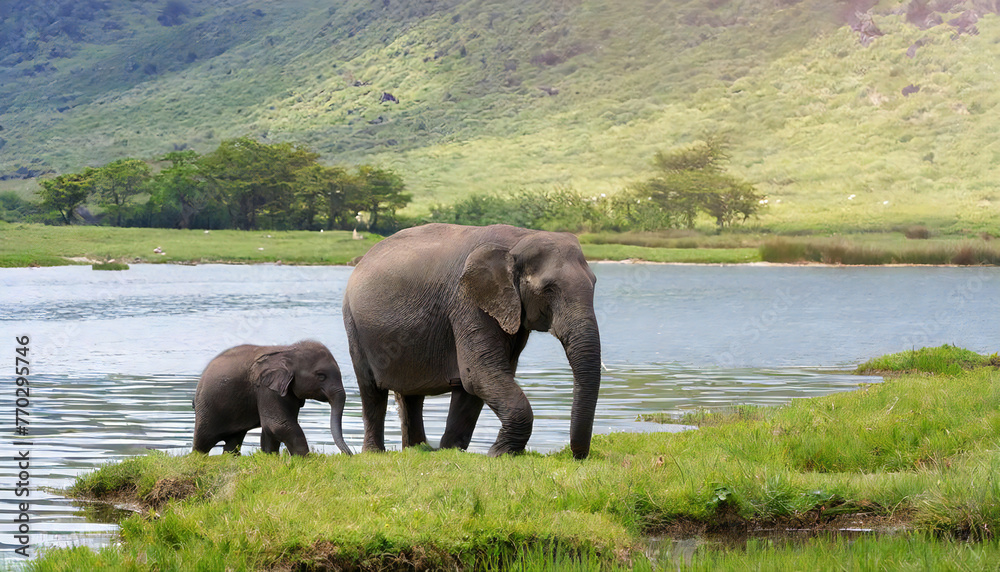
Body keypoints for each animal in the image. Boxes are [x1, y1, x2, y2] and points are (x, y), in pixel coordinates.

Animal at [193, 340, 354, 456]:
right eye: (321, 376)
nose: (349, 455)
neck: (288, 351)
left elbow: (270, 428)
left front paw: (270, 457)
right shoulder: (266, 389)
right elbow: (279, 424)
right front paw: (307, 460)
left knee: (234, 440)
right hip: (206, 407)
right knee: (203, 441)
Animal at [342, 223, 600, 460]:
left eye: (595, 284)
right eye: (548, 289)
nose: (575, 456)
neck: (521, 237)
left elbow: (474, 383)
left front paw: (451, 451)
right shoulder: (467, 301)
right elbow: (479, 374)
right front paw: (498, 454)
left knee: (411, 394)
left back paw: (417, 450)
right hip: (354, 324)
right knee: (371, 390)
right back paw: (374, 453)